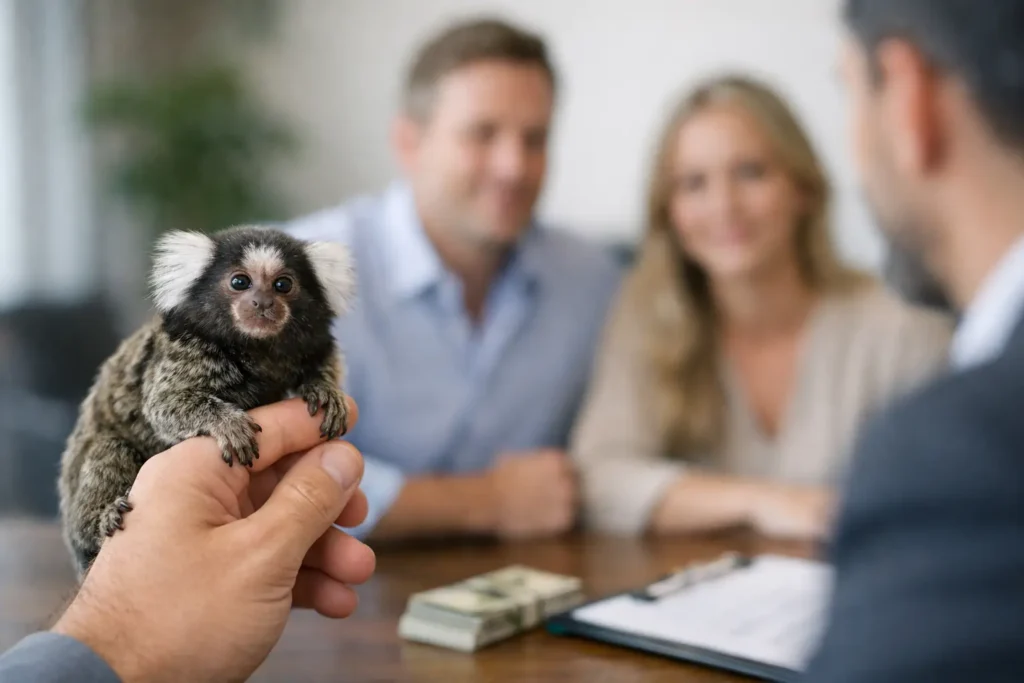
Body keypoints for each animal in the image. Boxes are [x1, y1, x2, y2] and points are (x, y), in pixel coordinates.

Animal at [57, 225, 355, 577]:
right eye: (240, 282)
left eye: (283, 284)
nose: (262, 303)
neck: (257, 352)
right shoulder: (187, 350)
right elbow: (164, 403)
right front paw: (226, 424)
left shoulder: (313, 345)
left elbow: (324, 368)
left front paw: (324, 389)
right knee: (108, 449)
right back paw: (101, 518)